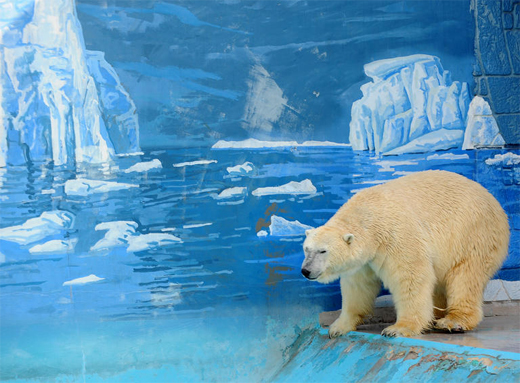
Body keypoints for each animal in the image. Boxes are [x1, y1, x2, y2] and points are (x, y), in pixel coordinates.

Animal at [302, 171, 510, 340]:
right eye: (306, 248)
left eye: (323, 250)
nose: (306, 270)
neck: (368, 217)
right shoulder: (364, 262)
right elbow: (357, 288)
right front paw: (337, 327)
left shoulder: (396, 236)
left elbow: (410, 276)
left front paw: (398, 329)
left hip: (473, 234)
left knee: (465, 276)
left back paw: (452, 321)